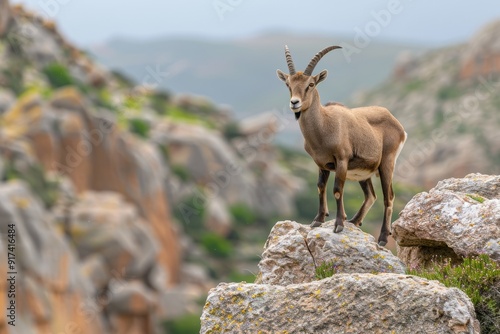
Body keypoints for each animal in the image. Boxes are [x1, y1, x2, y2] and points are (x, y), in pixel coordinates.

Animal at [278, 45, 406, 245]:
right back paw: (354, 221)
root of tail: (396, 123)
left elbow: (337, 190)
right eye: (288, 84)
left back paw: (383, 237)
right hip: (364, 173)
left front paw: (338, 224)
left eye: (311, 84)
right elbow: (320, 187)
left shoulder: (342, 160)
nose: (294, 103)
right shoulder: (322, 164)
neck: (324, 126)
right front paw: (318, 220)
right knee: (371, 195)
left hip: (387, 163)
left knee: (388, 197)